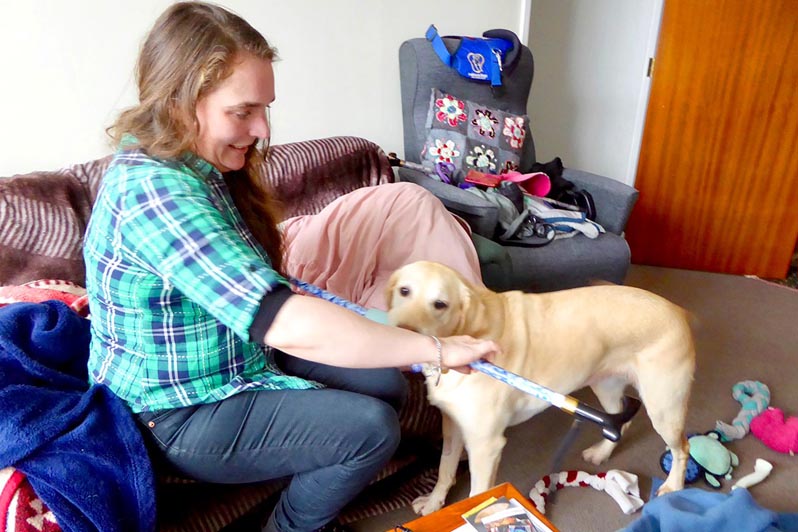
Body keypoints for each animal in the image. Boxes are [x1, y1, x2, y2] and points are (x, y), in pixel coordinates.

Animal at [386, 260, 692, 516]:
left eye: (440, 304)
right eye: (404, 291)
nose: (403, 334)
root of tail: (678, 311)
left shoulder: (486, 445)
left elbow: (478, 494)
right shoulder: (452, 426)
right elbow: (444, 470)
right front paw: (434, 503)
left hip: (663, 408)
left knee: (682, 448)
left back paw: (673, 487)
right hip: (605, 386)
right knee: (621, 422)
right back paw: (601, 453)